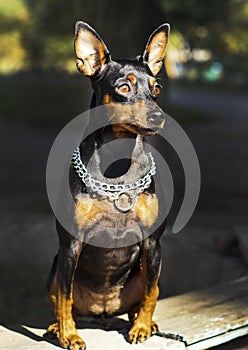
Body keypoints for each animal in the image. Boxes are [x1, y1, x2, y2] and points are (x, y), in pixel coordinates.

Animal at [45, 21, 170, 350]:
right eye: (123, 88)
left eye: (156, 89)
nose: (158, 116)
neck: (118, 167)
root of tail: (103, 311)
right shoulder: (70, 246)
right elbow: (64, 297)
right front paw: (69, 335)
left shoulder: (153, 244)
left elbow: (150, 295)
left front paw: (141, 328)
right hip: (55, 268)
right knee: (64, 298)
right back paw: (57, 327)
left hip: (148, 267)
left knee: (147, 293)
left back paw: (144, 322)